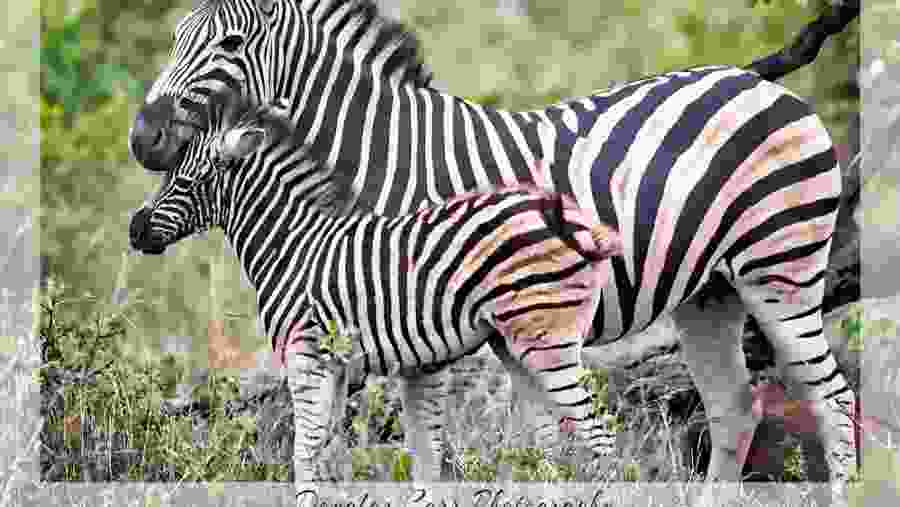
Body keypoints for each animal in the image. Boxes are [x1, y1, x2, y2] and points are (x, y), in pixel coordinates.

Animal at [128, 89, 624, 494]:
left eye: (185, 182)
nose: (134, 230)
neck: (294, 243)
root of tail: (561, 212)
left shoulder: (304, 353)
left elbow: (304, 452)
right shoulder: (335, 364)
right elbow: (326, 451)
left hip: (549, 340)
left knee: (601, 439)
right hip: (515, 343)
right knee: (554, 440)